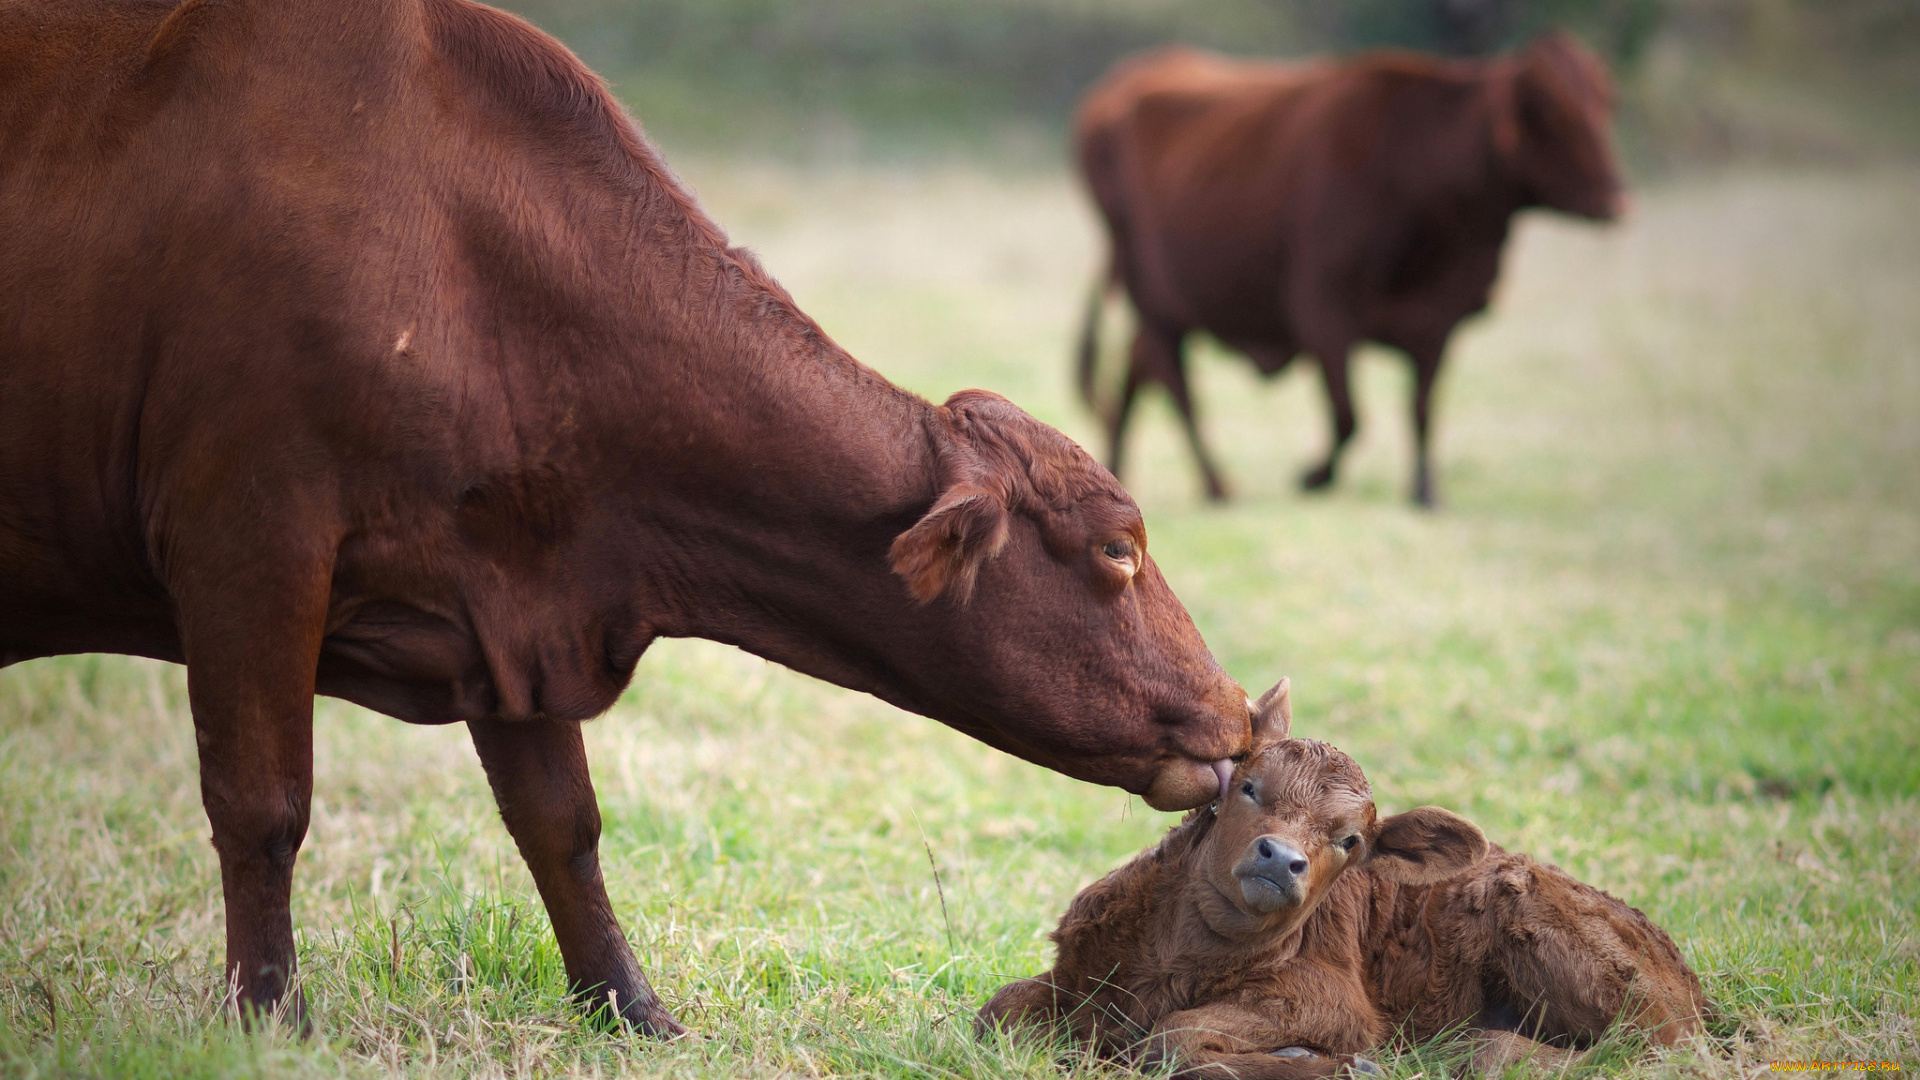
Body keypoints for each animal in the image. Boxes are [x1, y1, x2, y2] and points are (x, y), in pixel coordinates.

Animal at [0, 0, 1251, 1030]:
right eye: (1116, 546)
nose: (1238, 714)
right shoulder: (249, 545)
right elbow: (262, 805)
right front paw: (270, 1019)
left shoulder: (508, 603)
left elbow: (563, 826)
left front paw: (632, 1008)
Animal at [983, 676, 1704, 1068]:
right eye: (1249, 786)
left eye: (1350, 840)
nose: (1281, 858)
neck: (1179, 956)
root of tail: (1686, 977)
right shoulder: (1077, 970)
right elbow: (998, 1011)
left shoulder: (1331, 1001)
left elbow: (1173, 1035)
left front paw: (1302, 1059)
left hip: (1563, 942)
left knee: (1653, 1048)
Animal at [1075, 32, 1628, 503]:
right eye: (1552, 111)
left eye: (1604, 103)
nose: (1615, 198)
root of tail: (1109, 101)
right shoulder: (1323, 312)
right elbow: (1349, 416)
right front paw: (1312, 476)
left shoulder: (1439, 320)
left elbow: (1421, 409)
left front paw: (1425, 493)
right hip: (1154, 299)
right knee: (1176, 385)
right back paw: (1217, 486)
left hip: (1165, 309)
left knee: (1139, 372)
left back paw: (1120, 472)